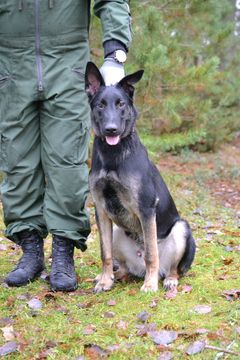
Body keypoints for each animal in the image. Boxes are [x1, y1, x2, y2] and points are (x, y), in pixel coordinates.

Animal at [85, 62, 196, 292]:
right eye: (100, 105)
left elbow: (152, 254)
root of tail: (137, 270)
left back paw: (167, 279)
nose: (111, 129)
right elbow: (105, 253)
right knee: (123, 266)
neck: (113, 155)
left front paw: (150, 285)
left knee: (172, 267)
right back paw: (114, 276)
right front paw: (105, 279)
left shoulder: (146, 209)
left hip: (181, 228)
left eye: (120, 104)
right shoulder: (101, 211)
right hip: (117, 230)